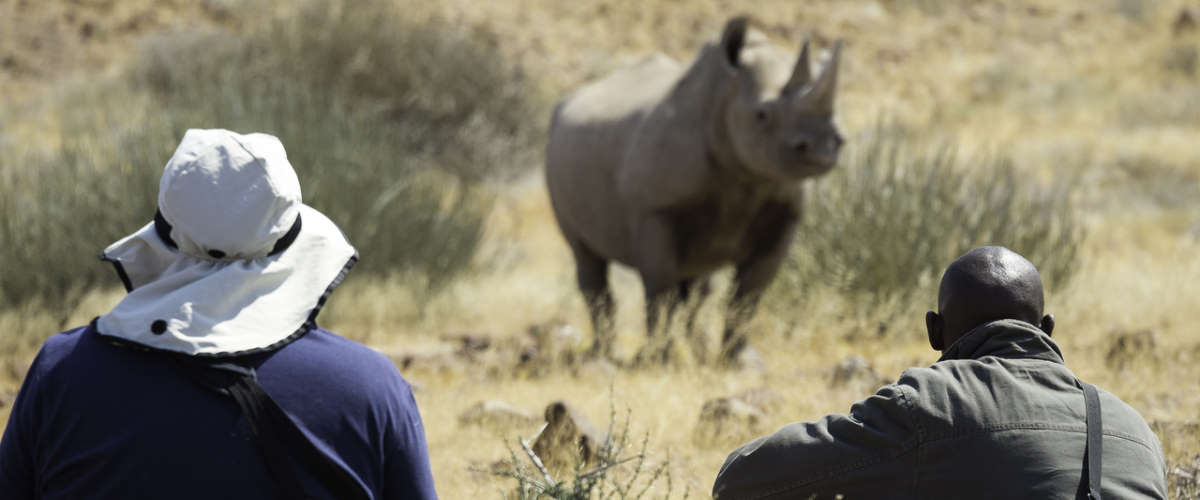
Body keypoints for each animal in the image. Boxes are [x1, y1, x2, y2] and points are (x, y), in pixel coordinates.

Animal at [545, 17, 844, 364]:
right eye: (762, 115)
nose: (823, 147)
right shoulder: (655, 210)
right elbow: (659, 287)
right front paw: (654, 360)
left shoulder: (785, 213)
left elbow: (750, 293)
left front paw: (741, 362)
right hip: (554, 150)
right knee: (588, 259)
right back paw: (601, 355)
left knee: (696, 284)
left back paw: (690, 350)